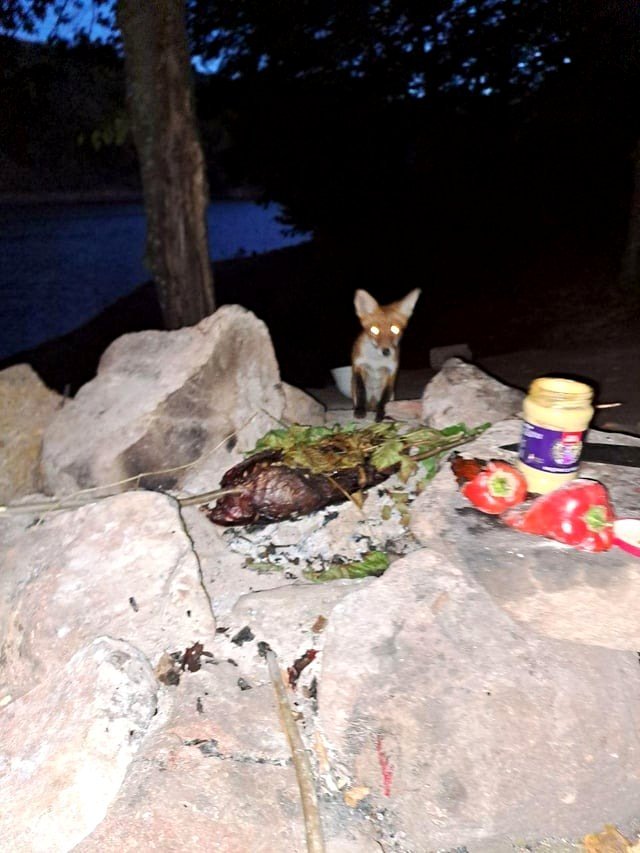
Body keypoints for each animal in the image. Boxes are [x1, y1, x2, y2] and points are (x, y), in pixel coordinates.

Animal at [351, 287, 421, 422]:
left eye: (395, 329)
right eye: (374, 330)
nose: (386, 351)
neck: (376, 361)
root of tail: (372, 405)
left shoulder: (391, 373)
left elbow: (384, 399)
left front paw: (381, 415)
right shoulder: (358, 366)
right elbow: (361, 391)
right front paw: (360, 411)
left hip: (394, 394)